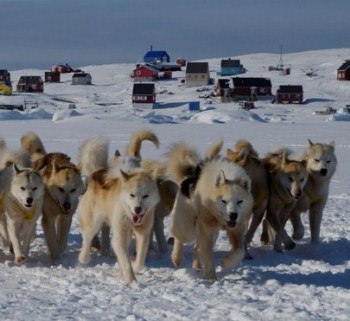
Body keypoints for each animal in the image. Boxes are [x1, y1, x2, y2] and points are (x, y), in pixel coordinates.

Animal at [20, 131, 84, 262]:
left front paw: (60, 251)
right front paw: (55, 258)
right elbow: (52, 241)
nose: (67, 205)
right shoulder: (48, 218)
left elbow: (62, 241)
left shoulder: (66, 217)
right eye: (60, 189)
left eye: (73, 190)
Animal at [168, 142, 253, 280]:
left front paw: (226, 262)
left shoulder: (236, 229)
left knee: (196, 248)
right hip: (188, 228)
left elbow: (239, 251)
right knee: (179, 237)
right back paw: (177, 258)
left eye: (240, 201)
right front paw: (211, 277)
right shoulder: (207, 229)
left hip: (213, 233)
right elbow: (207, 254)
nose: (233, 215)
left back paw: (197, 266)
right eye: (223, 201)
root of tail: (189, 178)